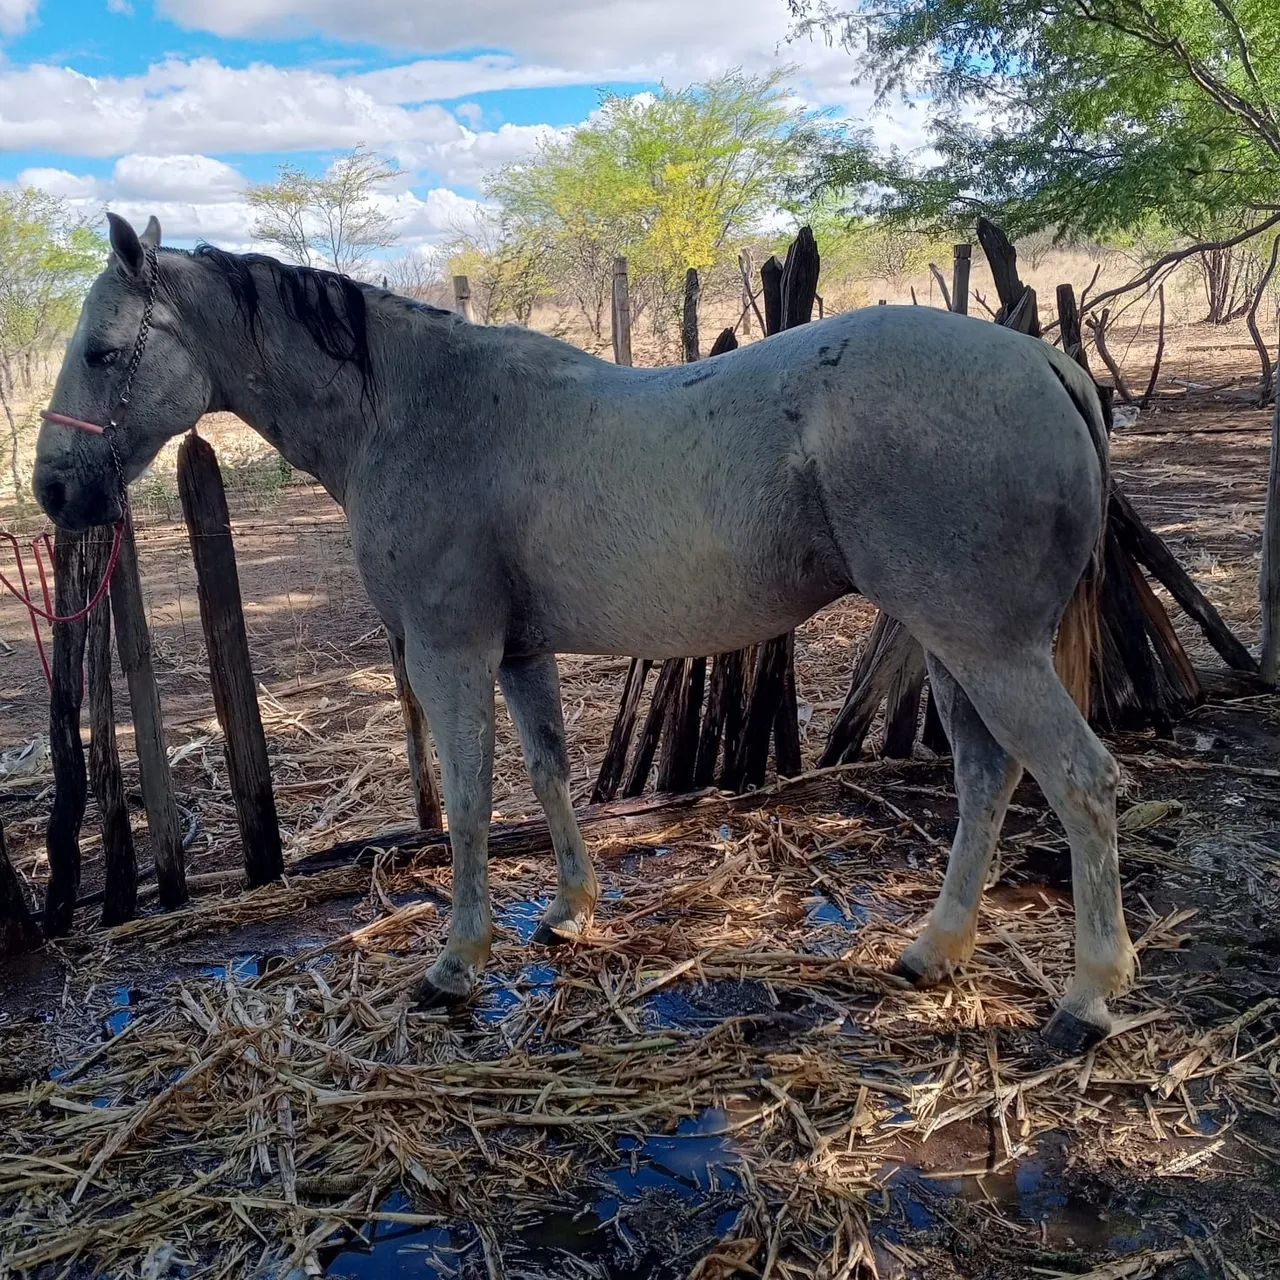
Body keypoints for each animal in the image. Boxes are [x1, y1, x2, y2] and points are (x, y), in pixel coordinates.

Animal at [33, 214, 1137, 1051]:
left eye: (99, 351)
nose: (53, 488)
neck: (412, 409)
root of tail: (1045, 361)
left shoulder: (451, 652)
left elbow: (470, 801)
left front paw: (457, 959)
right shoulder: (520, 654)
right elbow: (548, 770)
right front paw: (570, 909)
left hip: (988, 650)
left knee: (1079, 779)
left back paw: (1085, 996)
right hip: (952, 648)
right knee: (986, 775)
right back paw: (936, 946)